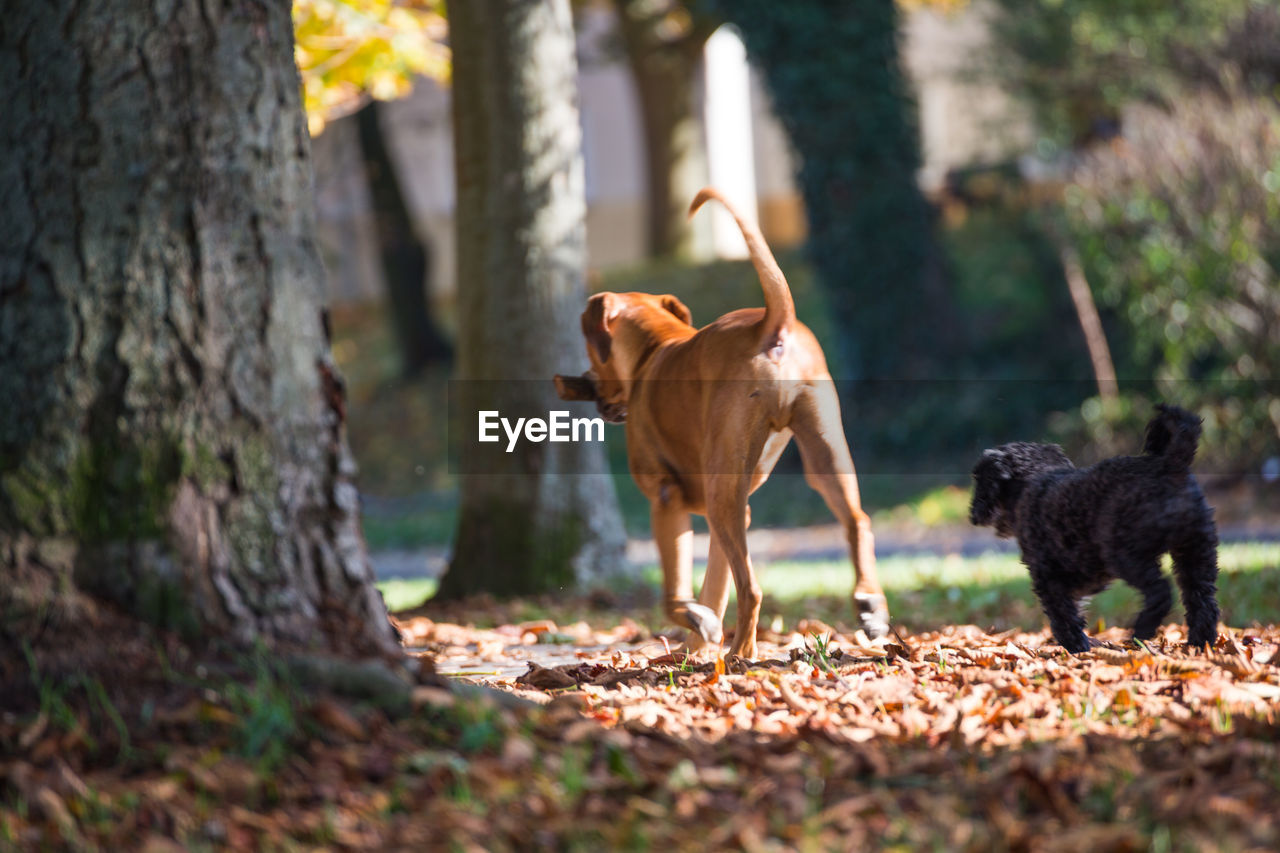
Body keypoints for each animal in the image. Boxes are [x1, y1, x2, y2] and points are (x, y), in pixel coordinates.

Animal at [555, 185, 885, 653]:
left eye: (591, 353)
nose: (585, 384)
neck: (656, 349)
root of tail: (771, 323)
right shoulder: (727, 514)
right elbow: (715, 585)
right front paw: (697, 645)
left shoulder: (666, 500)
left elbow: (677, 592)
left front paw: (697, 626)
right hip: (825, 457)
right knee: (857, 522)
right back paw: (870, 605)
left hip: (722, 491)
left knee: (753, 589)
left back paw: (741, 654)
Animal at [967, 404, 1218, 650]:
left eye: (979, 479)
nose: (972, 515)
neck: (1035, 480)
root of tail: (1171, 464)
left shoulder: (1048, 577)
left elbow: (1063, 615)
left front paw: (1076, 646)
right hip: (1196, 553)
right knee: (1202, 601)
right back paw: (1200, 642)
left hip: (1127, 554)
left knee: (1161, 593)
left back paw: (1141, 631)